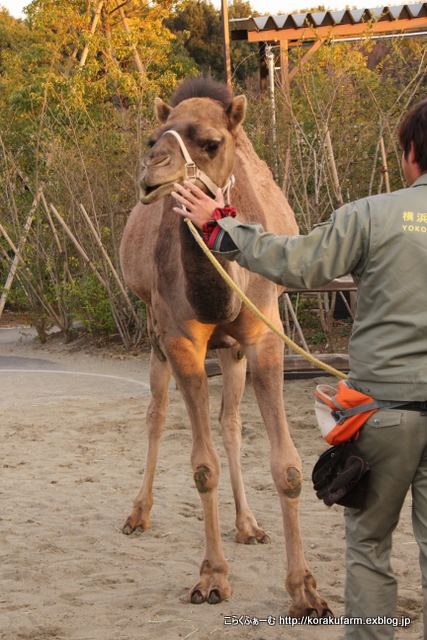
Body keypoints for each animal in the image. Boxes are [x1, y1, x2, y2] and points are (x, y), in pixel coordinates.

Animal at [120, 75, 332, 616]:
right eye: (152, 139)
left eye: (212, 144)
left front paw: (306, 590)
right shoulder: (179, 340)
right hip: (156, 334)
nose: (151, 172)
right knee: (156, 414)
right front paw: (212, 578)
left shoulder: (263, 338)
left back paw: (249, 525)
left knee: (231, 422)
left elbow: (287, 467)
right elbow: (202, 467)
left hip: (231, 349)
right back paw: (138, 514)